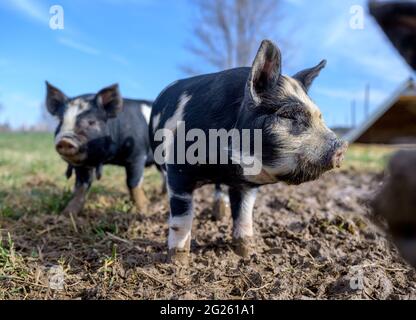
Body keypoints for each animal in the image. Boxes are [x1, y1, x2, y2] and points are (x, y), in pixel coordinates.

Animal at [45, 82, 156, 215]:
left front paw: (145, 210)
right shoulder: (83, 165)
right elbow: (81, 186)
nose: (65, 140)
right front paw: (67, 213)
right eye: (61, 121)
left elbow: (133, 182)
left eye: (91, 122)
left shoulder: (137, 155)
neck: (109, 158)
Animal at [150, 40, 348, 262]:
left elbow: (244, 216)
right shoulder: (178, 170)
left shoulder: (246, 184)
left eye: (320, 116)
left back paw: (220, 214)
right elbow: (181, 219)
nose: (341, 146)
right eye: (288, 115)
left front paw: (245, 254)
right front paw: (177, 263)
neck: (225, 164)